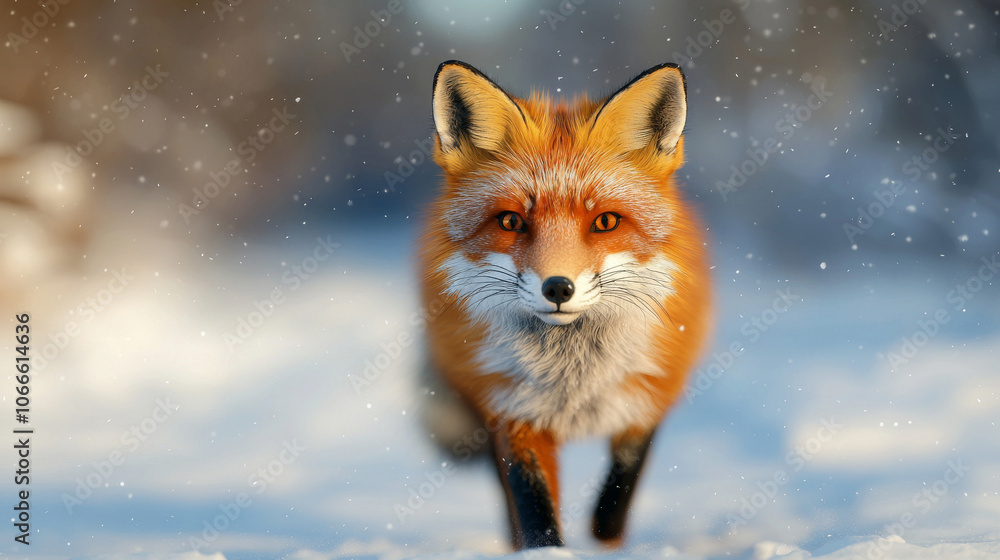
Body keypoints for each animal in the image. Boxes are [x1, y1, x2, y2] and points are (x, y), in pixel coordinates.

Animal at [419, 60, 711, 550]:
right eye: (511, 221)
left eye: (606, 221)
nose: (558, 288)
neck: (573, 377)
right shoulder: (512, 409)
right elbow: (534, 507)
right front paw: (546, 553)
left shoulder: (649, 393)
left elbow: (618, 493)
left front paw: (603, 542)